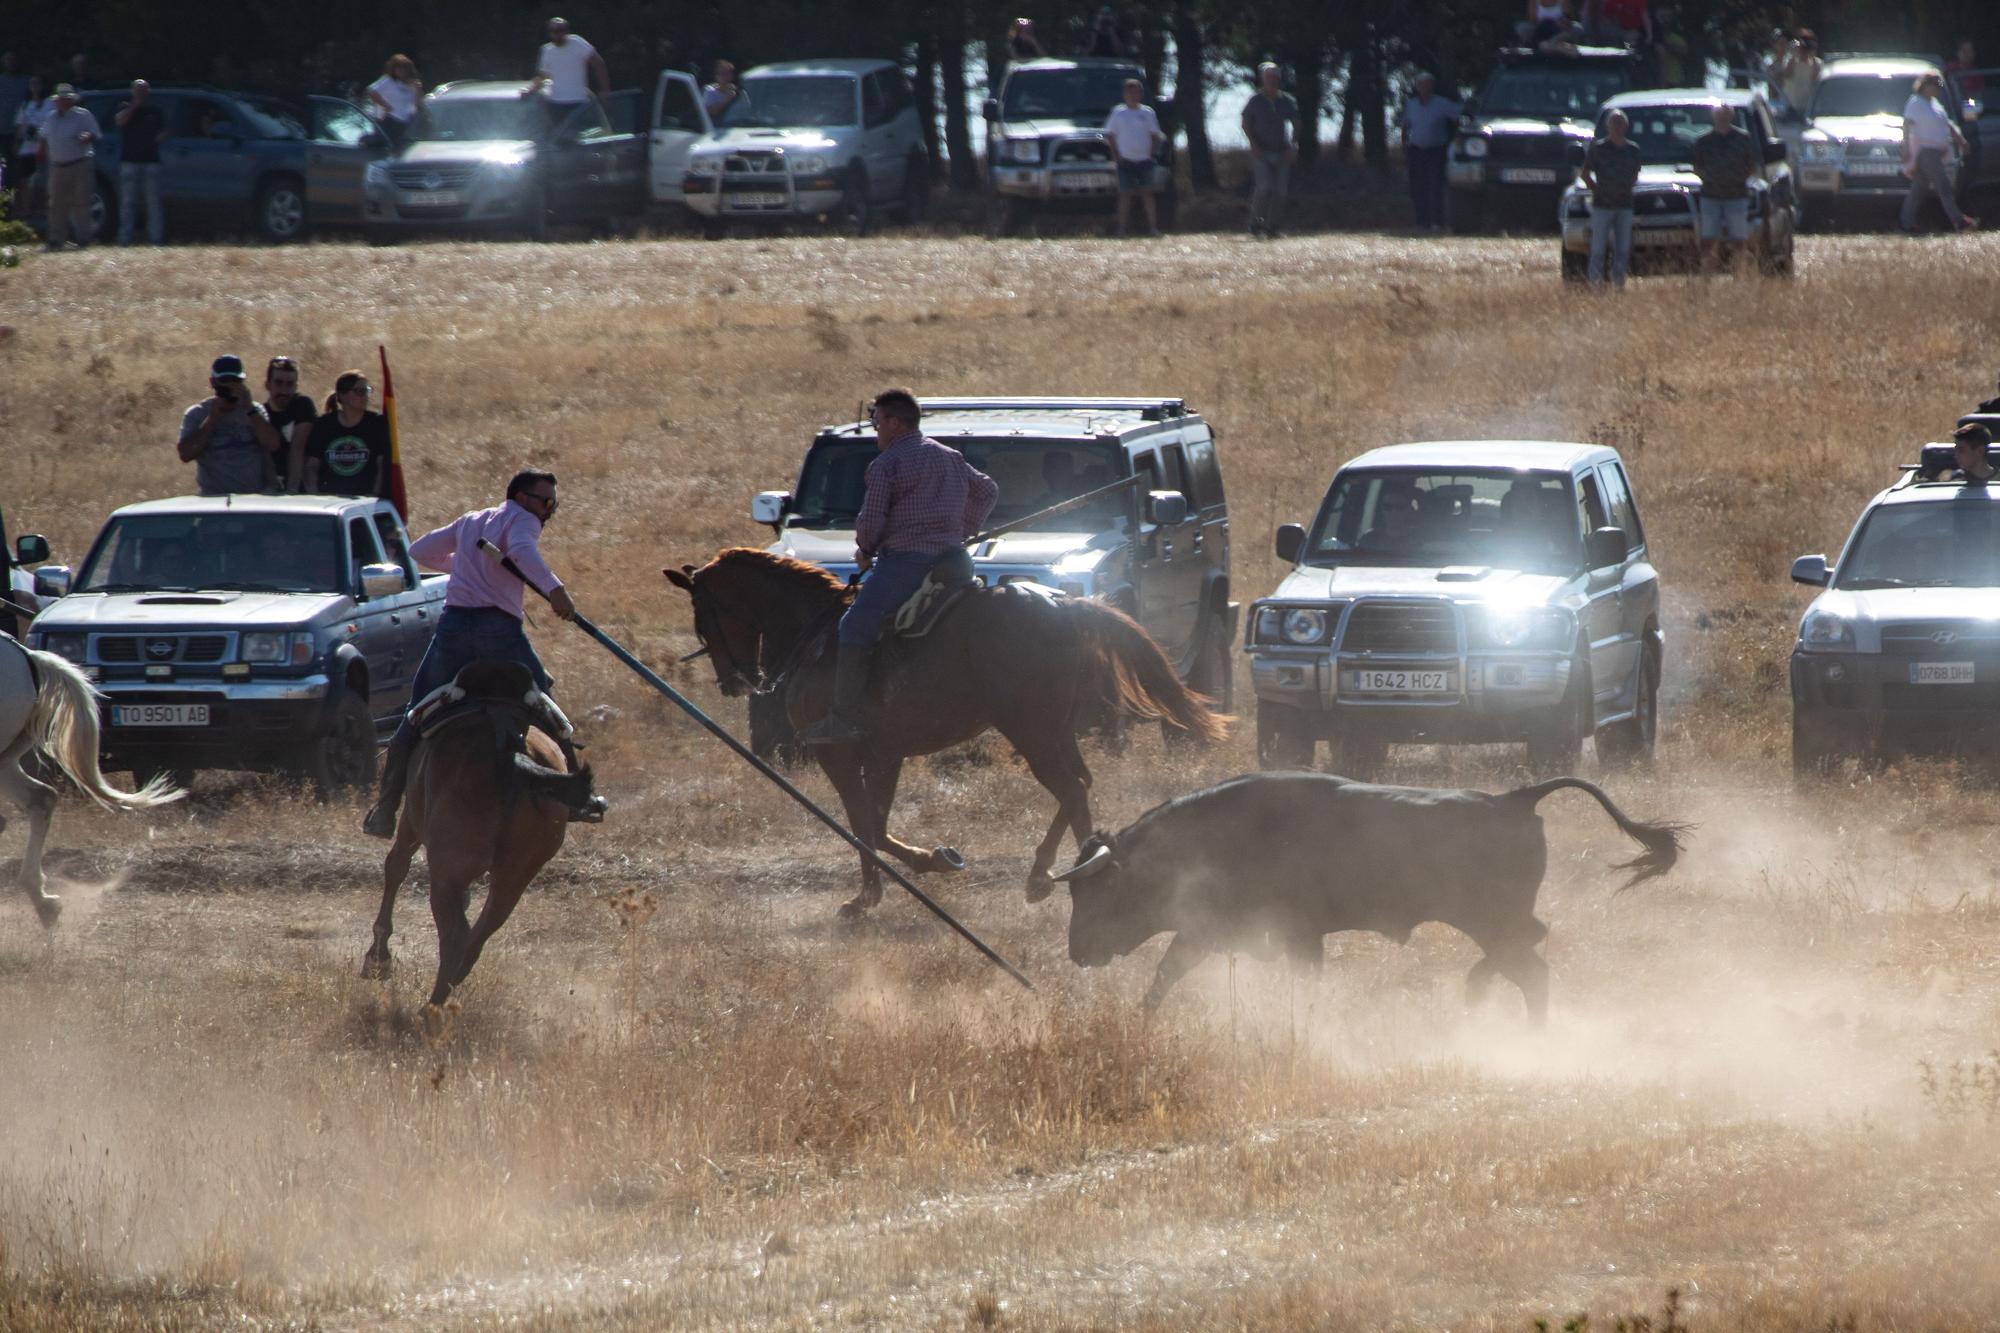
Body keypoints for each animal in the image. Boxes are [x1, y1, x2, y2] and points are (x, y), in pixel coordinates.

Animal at [362, 668, 596, 1000]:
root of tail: (512, 754)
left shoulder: (411, 821)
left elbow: (396, 867)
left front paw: (378, 958)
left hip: (448, 867)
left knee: (456, 935)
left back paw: (431, 1006)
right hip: (516, 875)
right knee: (480, 934)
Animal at [664, 548, 1224, 912]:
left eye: (701, 614)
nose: (733, 682)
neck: (817, 633)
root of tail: (1065, 605)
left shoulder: (836, 753)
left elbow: (863, 824)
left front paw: (872, 893)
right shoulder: (885, 753)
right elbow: (877, 823)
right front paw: (924, 864)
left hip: (1031, 731)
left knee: (1070, 788)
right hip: (1054, 729)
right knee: (1080, 786)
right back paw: (1044, 874)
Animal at [1048, 768, 1688, 1016]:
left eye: (1099, 892)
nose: (1077, 952)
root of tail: (1515, 798)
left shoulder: (1292, 936)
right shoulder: (1207, 933)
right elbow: (1166, 974)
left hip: (1491, 921)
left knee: (1530, 967)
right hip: (1495, 922)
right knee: (1530, 955)